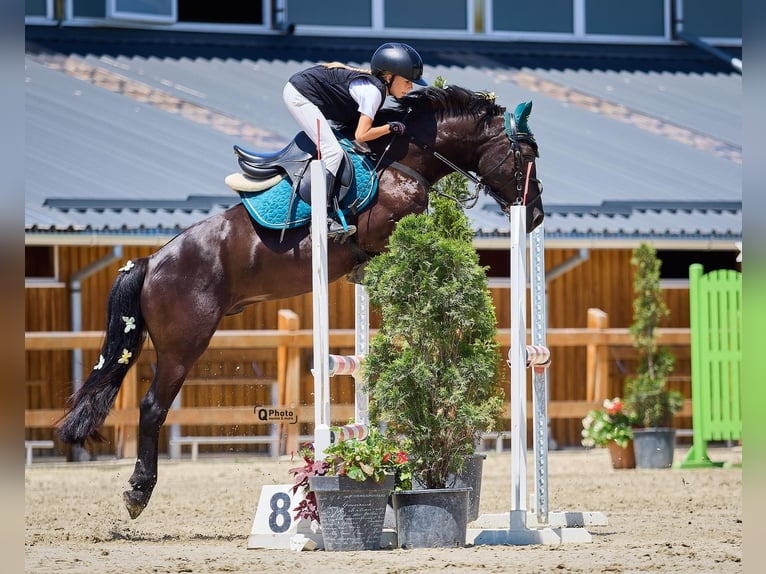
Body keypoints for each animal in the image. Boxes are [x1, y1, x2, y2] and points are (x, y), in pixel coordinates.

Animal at [57, 85, 544, 520]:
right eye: (526, 155)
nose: (536, 216)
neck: (402, 160)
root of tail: (152, 260)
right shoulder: (383, 231)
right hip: (183, 344)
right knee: (152, 408)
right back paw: (138, 492)